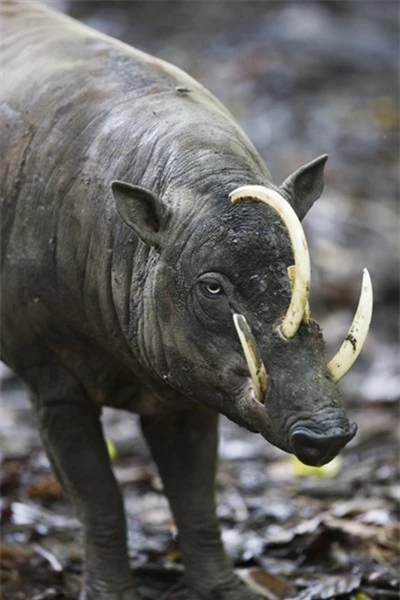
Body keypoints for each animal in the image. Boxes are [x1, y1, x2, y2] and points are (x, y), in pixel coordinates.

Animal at [0, 1, 372, 600]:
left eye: (301, 273)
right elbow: (100, 498)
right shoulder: (48, 378)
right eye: (213, 287)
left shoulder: (189, 386)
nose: (326, 433)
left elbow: (196, 495)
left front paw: (226, 591)